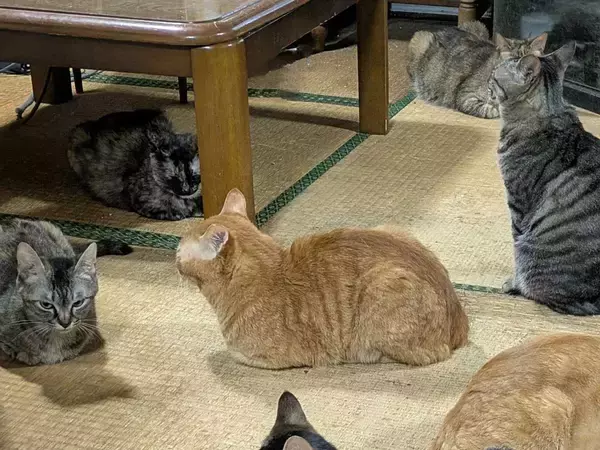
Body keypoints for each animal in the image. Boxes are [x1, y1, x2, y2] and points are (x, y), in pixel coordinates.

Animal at [68, 109, 202, 221]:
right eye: (174, 177)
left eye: (194, 176)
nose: (187, 190)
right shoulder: (142, 204)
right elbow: (177, 213)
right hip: (77, 138)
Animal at [176, 188, 468, 369]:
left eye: (179, 250)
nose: (175, 258)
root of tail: (460, 323)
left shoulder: (265, 358)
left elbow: (234, 354)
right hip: (391, 230)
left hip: (382, 288)